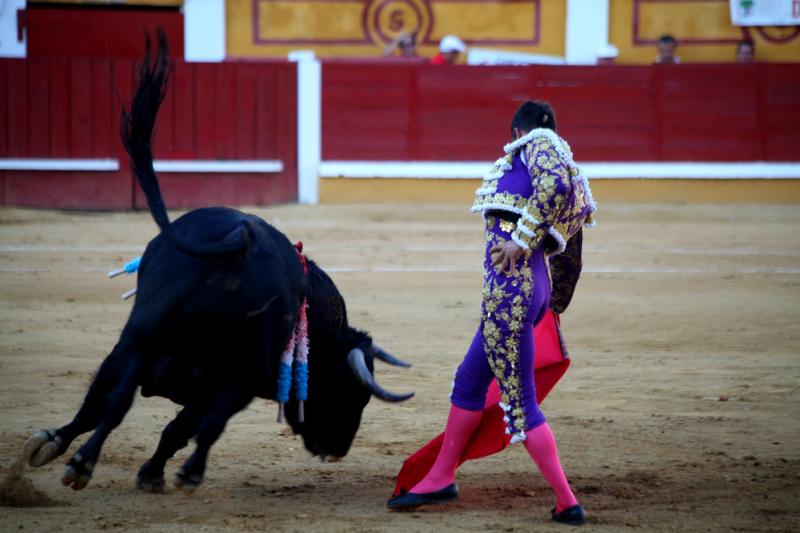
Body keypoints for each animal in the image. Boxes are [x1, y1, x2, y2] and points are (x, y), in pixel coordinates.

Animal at [22, 32, 416, 490]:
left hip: (143, 336)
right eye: (349, 391)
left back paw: (85, 462)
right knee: (126, 404)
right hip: (199, 361)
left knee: (117, 400)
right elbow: (167, 422)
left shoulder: (199, 378)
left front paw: (146, 472)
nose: (338, 449)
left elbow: (164, 423)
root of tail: (234, 246)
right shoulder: (229, 383)